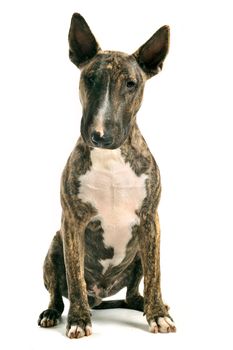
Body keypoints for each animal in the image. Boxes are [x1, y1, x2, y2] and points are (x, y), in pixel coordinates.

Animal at [38, 12, 176, 338]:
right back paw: (53, 313)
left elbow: (155, 274)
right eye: (89, 78)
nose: (100, 135)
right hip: (53, 247)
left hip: (137, 252)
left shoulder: (150, 220)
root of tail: (100, 295)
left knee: (133, 292)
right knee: (57, 292)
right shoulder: (72, 222)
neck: (110, 159)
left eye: (131, 84)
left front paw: (158, 315)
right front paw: (78, 320)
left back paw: (148, 306)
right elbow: (75, 277)